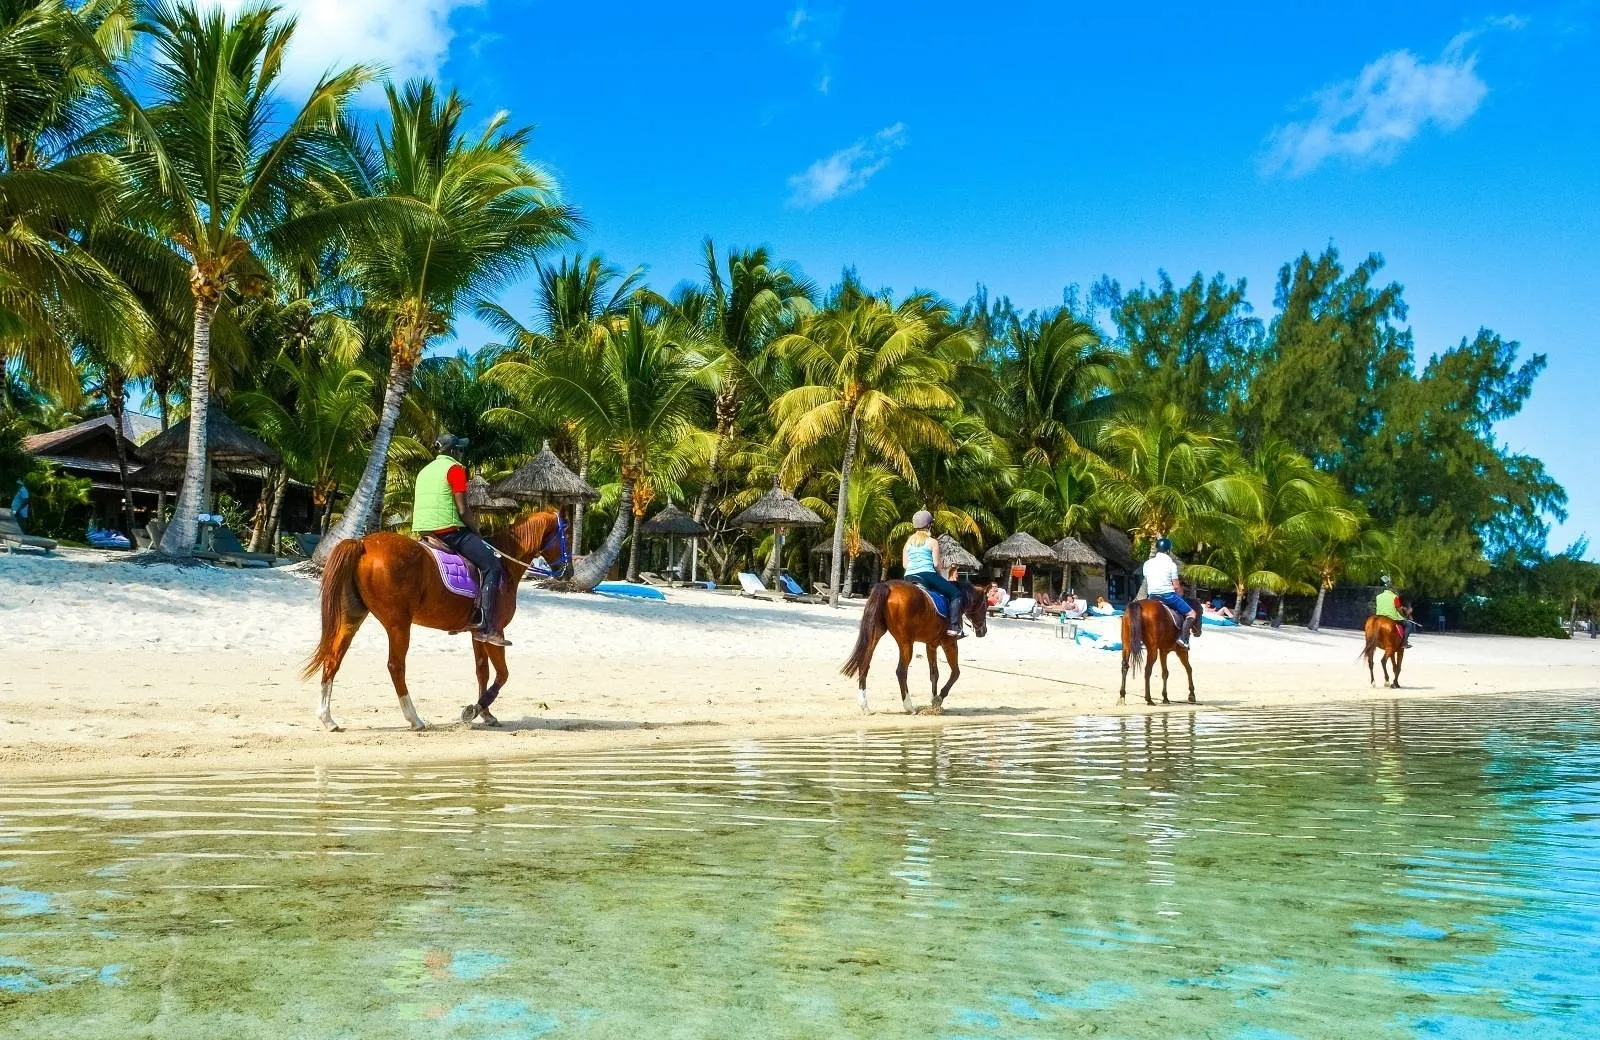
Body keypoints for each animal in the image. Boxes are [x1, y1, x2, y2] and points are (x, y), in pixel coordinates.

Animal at [301, 509, 569, 732]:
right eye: (565, 532)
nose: (569, 571)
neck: (504, 564)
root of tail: (363, 544)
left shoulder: (478, 633)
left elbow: (482, 671)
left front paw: (486, 713)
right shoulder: (497, 633)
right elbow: (502, 674)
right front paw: (475, 709)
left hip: (352, 619)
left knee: (333, 658)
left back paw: (327, 719)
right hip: (398, 624)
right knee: (396, 666)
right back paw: (414, 718)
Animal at [840, 578, 991, 715]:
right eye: (985, 606)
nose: (983, 631)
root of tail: (887, 586)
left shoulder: (931, 645)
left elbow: (934, 674)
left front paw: (933, 703)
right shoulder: (950, 643)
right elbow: (956, 672)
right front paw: (939, 698)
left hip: (875, 635)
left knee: (864, 665)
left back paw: (865, 706)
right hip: (906, 643)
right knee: (901, 671)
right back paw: (909, 706)